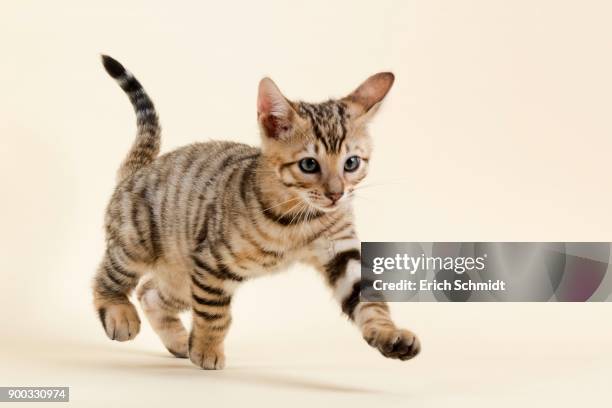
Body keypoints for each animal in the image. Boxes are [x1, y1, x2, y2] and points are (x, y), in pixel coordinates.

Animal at [94, 55, 420, 370]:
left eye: (351, 163)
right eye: (309, 165)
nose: (336, 194)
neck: (302, 217)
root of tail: (139, 170)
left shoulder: (340, 250)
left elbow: (369, 298)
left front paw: (389, 334)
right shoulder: (212, 260)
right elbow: (214, 313)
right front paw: (207, 349)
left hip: (181, 276)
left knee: (150, 293)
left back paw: (177, 341)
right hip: (136, 244)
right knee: (109, 277)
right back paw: (120, 315)